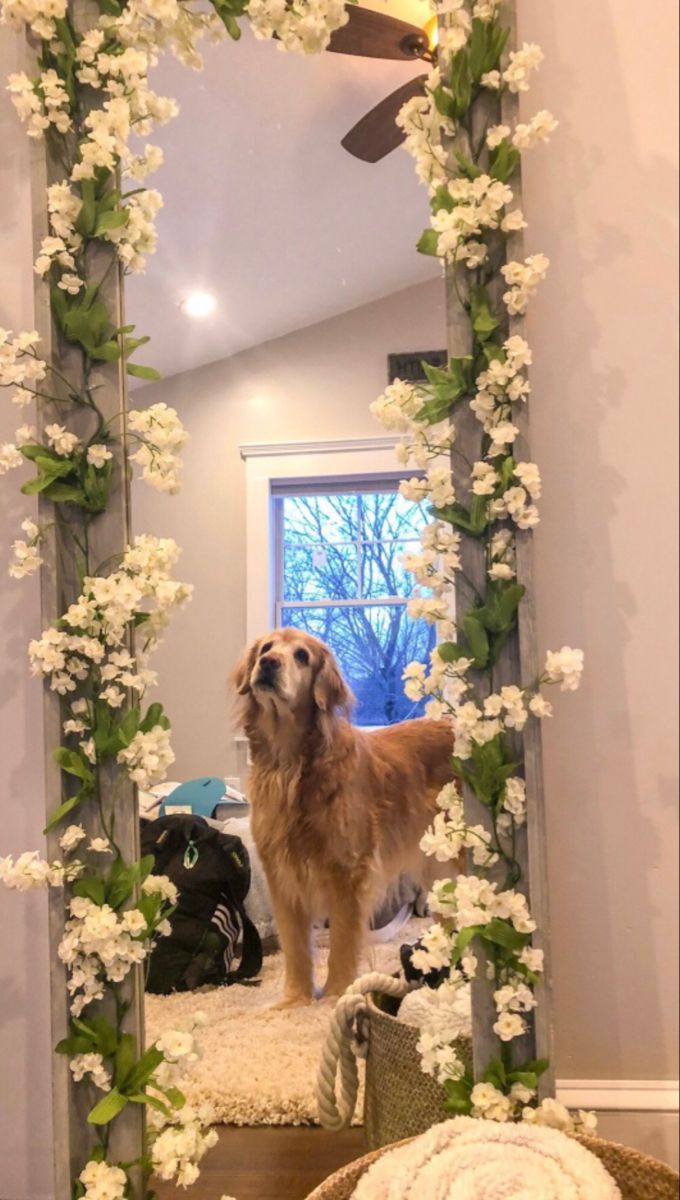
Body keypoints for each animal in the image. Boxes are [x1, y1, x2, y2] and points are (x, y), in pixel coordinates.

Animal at [233, 628, 458, 1003]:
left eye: (302, 656)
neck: (291, 765)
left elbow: (341, 942)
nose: (268, 663)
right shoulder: (283, 876)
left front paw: (337, 994)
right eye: (266, 648)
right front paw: (295, 1000)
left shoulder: (349, 873)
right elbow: (295, 947)